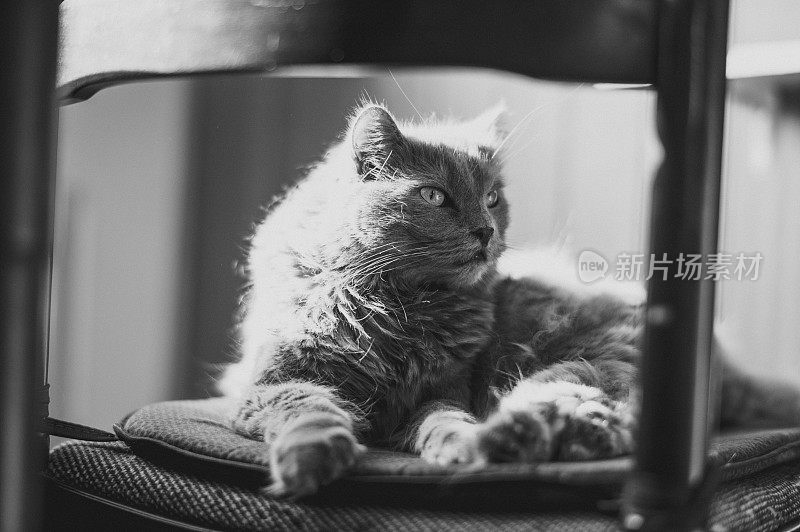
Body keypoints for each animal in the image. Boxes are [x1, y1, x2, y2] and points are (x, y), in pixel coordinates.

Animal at [222, 103, 800, 498]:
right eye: (434, 195)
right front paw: (312, 460)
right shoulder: (270, 383)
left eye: (493, 198)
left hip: (588, 364)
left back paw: (508, 439)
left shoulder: (443, 389)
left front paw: (460, 447)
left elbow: (443, 421)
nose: (485, 230)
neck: (400, 308)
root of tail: (720, 361)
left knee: (601, 418)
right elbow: (311, 410)